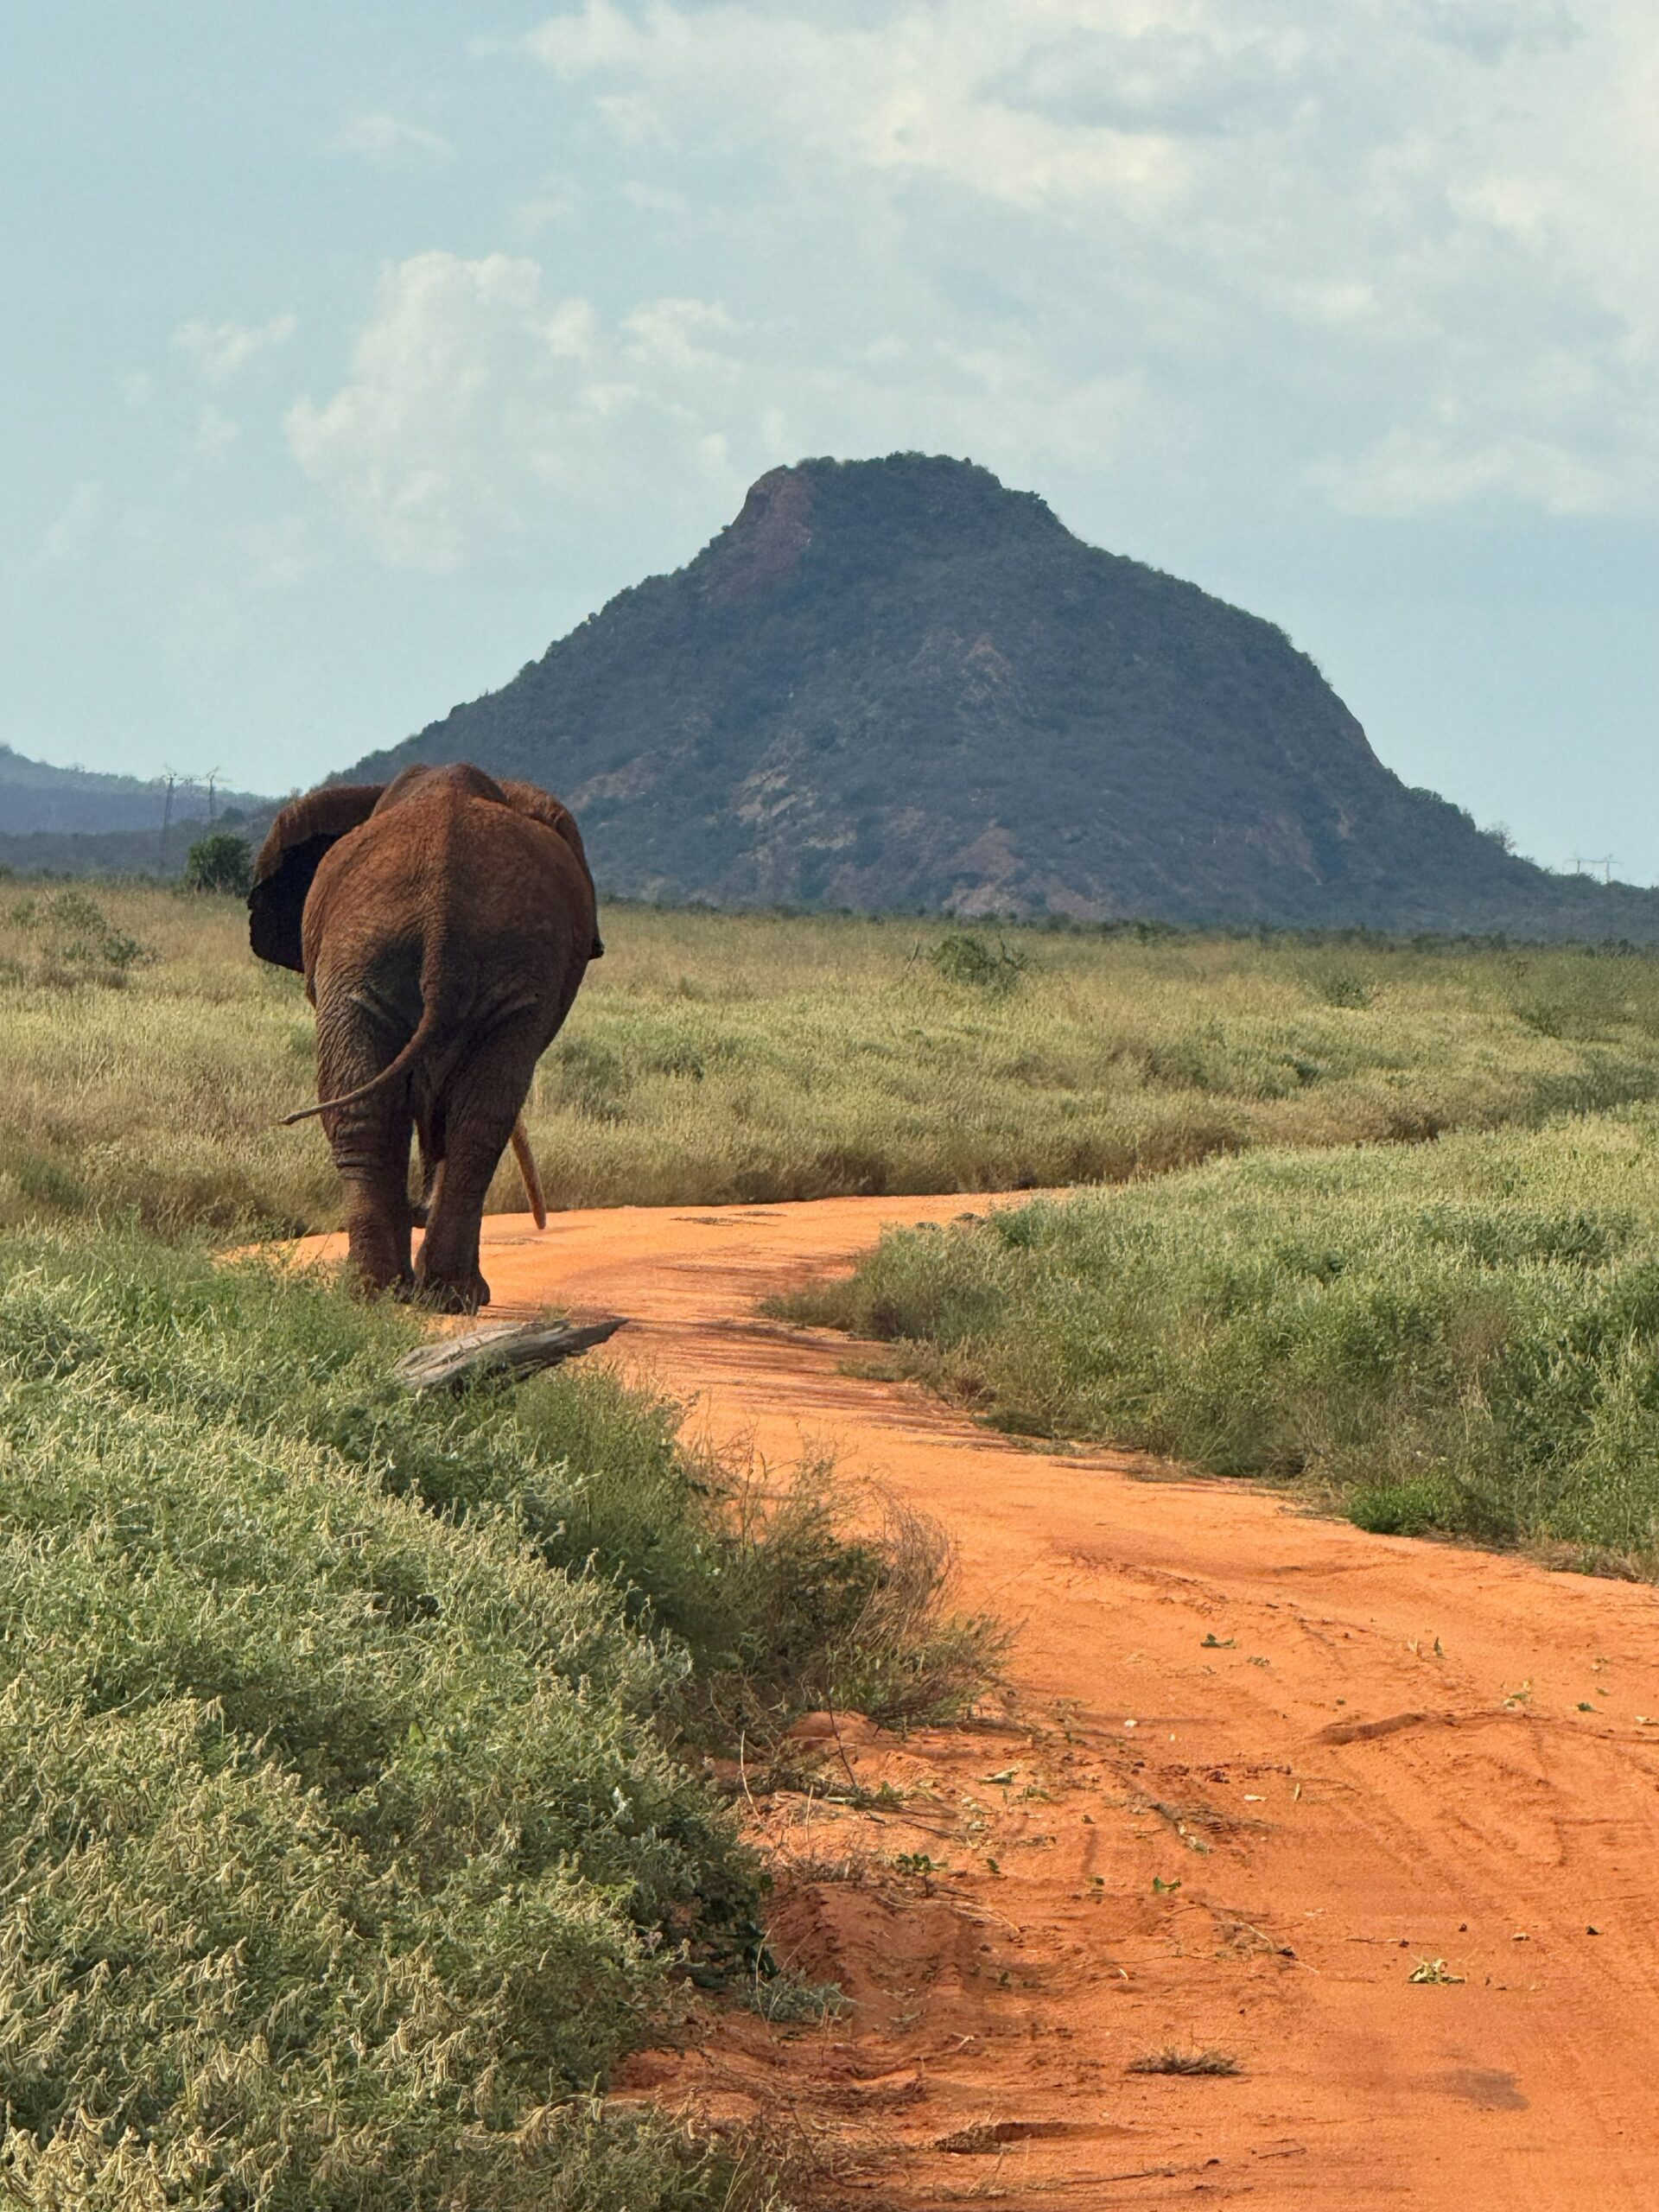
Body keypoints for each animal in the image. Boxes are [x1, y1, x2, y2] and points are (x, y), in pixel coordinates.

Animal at [249, 760, 602, 1312]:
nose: (419, 1205)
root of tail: (443, 911)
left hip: (382, 954)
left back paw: (401, 1292)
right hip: (381, 952)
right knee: (457, 1117)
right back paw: (410, 1292)